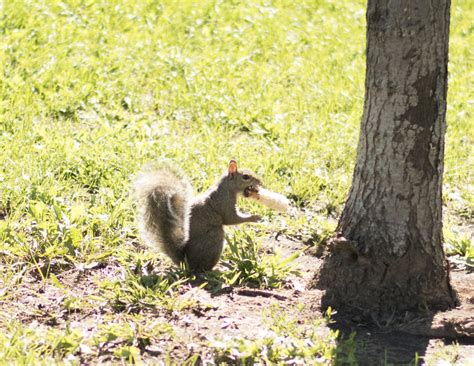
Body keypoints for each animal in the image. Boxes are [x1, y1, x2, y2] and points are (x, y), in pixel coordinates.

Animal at [134, 159, 262, 270]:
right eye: (246, 176)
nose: (260, 182)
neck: (226, 188)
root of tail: (185, 263)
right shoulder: (224, 202)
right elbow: (231, 219)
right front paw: (254, 217)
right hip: (214, 238)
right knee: (204, 268)